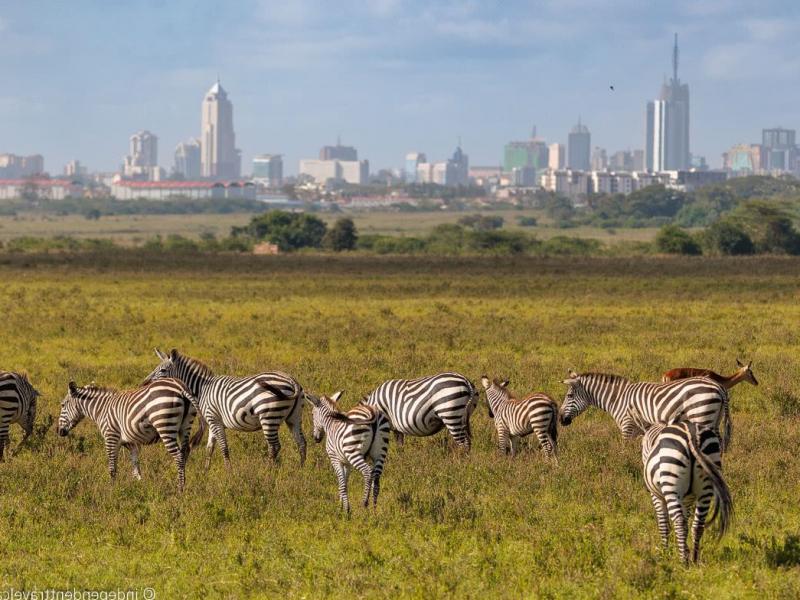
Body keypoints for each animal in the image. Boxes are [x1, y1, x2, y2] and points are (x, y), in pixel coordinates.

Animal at [58, 380, 202, 492]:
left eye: (63, 405)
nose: (59, 431)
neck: (101, 410)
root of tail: (180, 387)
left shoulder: (111, 437)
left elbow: (112, 466)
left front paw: (112, 488)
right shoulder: (131, 443)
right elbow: (135, 464)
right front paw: (139, 485)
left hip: (165, 426)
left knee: (178, 456)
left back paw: (180, 488)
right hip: (185, 427)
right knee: (184, 453)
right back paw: (183, 483)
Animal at [560, 370, 728, 450]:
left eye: (569, 396)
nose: (561, 419)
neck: (618, 398)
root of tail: (718, 387)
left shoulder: (627, 426)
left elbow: (624, 450)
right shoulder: (640, 430)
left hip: (702, 416)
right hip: (714, 420)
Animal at [644, 422, 732, 564]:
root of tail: (692, 435)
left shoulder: (656, 496)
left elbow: (663, 524)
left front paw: (664, 553)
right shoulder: (687, 499)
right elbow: (685, 521)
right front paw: (685, 549)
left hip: (671, 485)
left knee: (679, 522)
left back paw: (683, 562)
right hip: (706, 488)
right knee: (697, 524)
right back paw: (694, 559)